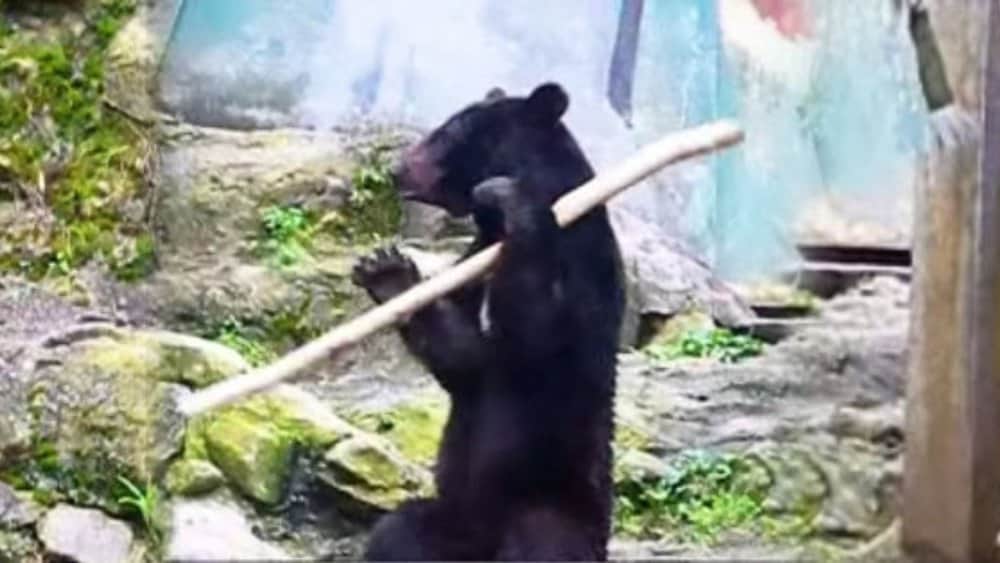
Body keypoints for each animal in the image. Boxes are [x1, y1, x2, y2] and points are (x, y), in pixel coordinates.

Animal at [351, 82, 626, 561]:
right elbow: (465, 357)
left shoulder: (584, 262)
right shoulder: (474, 257)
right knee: (398, 533)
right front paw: (387, 271)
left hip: (550, 502)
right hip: (451, 522)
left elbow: (538, 333)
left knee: (542, 544)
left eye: (448, 132)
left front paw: (505, 196)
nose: (396, 169)